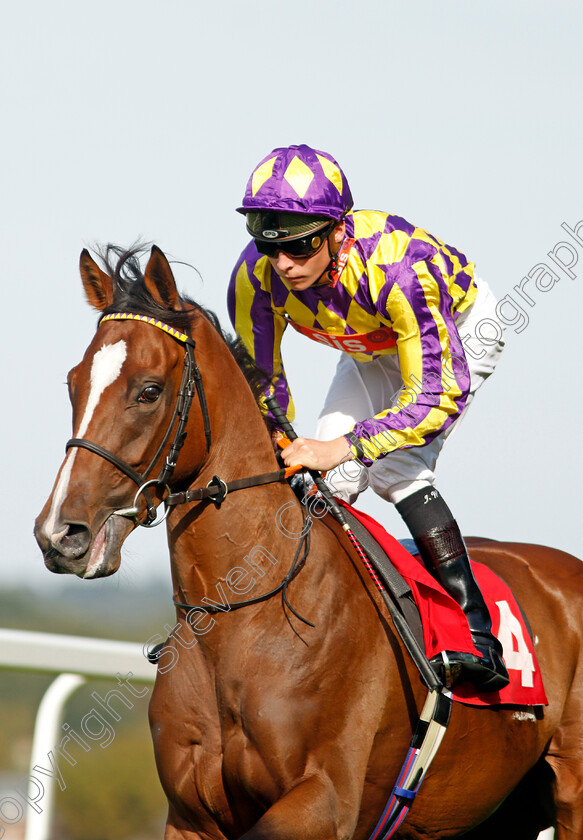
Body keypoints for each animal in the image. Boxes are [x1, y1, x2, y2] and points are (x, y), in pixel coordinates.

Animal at [35, 244, 583, 840]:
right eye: (72, 384)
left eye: (149, 390)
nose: (61, 533)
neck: (240, 617)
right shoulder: (190, 816)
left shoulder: (322, 801)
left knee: (406, 473)